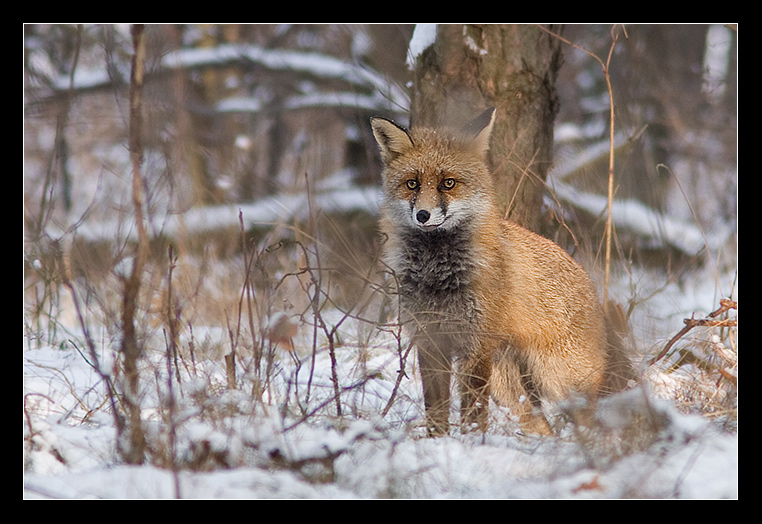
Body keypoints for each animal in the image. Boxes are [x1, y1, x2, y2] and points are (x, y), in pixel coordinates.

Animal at [372, 108, 632, 436]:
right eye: (412, 184)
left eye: (448, 183)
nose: (423, 215)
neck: (437, 275)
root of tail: (592, 289)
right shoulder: (430, 340)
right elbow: (437, 411)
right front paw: (437, 442)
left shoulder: (477, 344)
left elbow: (473, 412)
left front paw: (471, 442)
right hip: (508, 387)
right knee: (543, 425)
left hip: (561, 380)